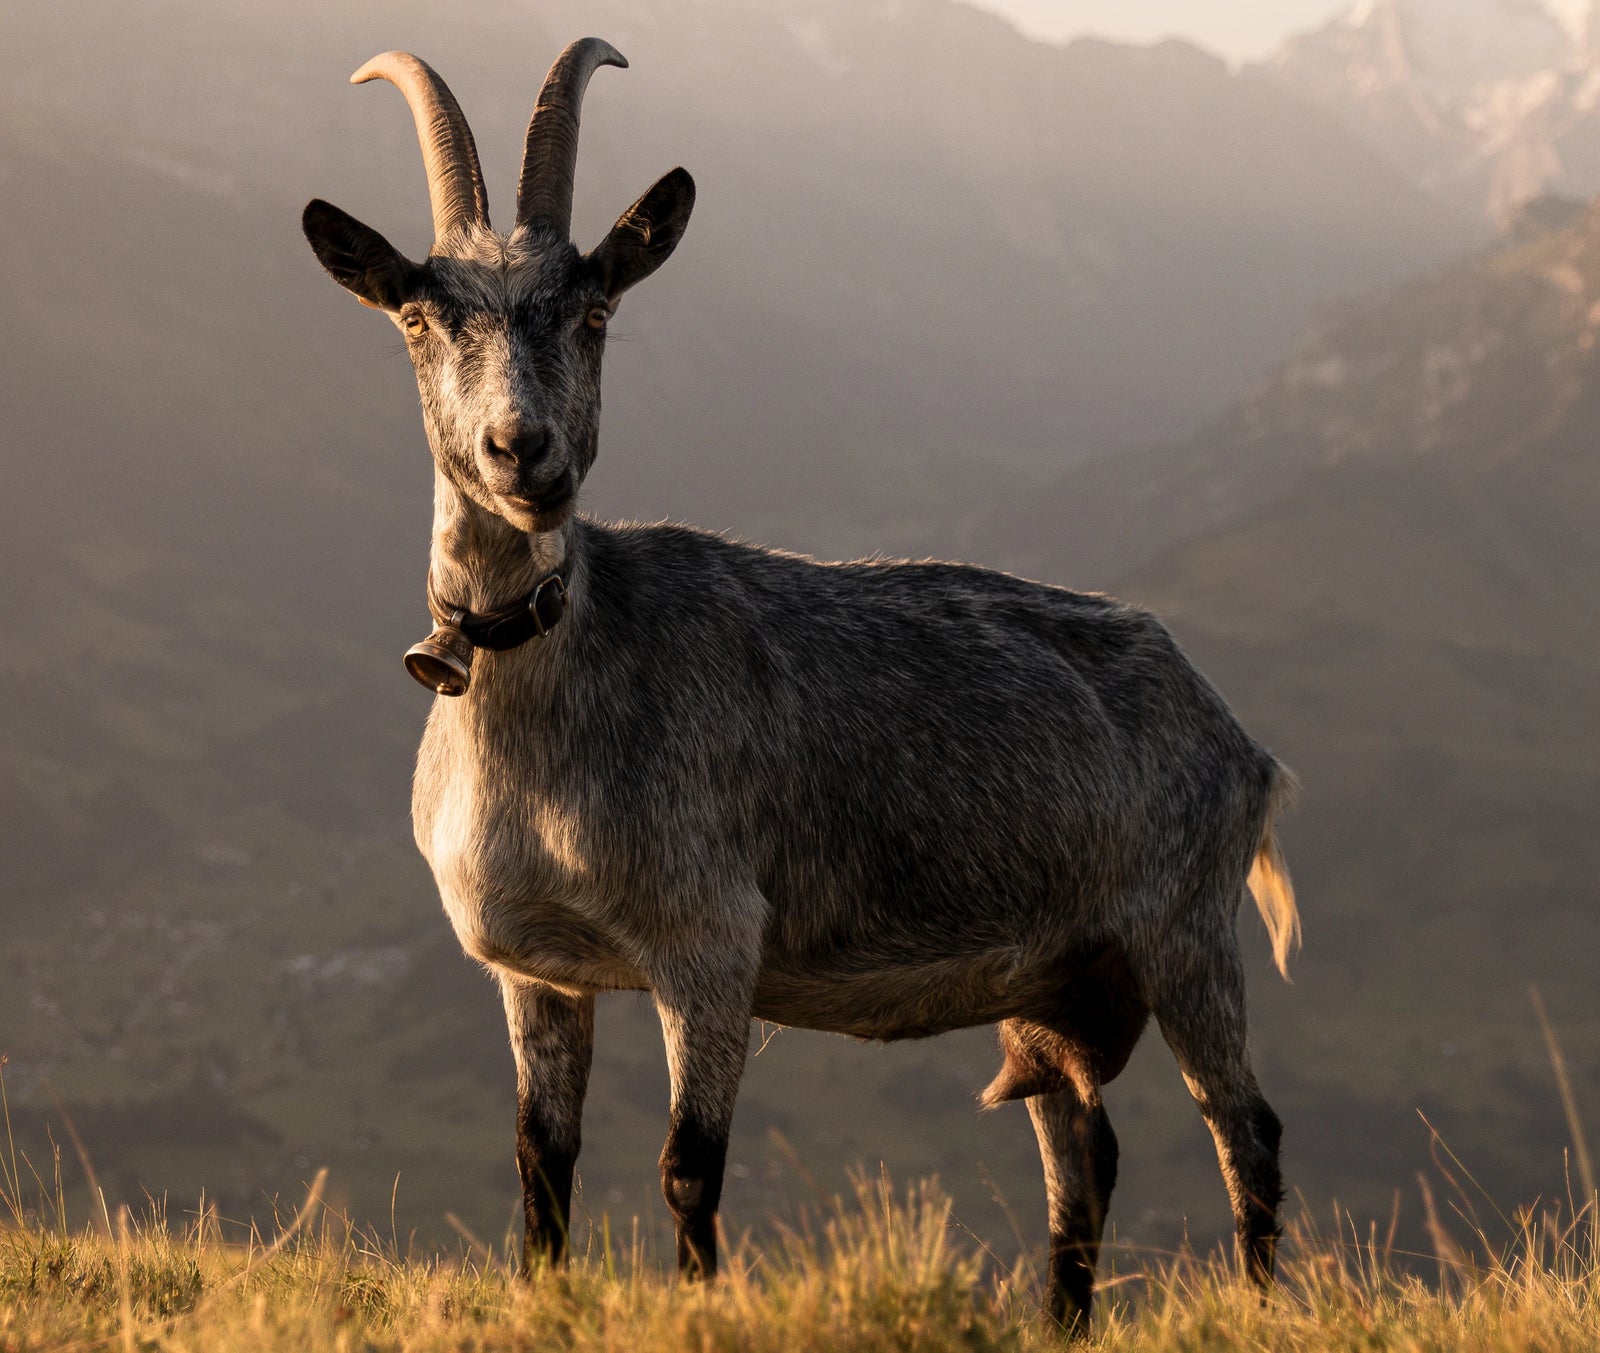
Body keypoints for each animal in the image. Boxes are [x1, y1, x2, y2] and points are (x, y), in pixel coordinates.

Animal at [301, 39, 1300, 1334]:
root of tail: (1241, 743)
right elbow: (540, 1163)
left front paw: (697, 1307)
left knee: (1247, 1133)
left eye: (595, 308)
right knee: (1084, 1155)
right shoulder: (534, 971)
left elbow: (688, 1164)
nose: (523, 452)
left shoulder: (709, 941)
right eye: (420, 314)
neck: (550, 697)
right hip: (1054, 973)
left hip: (1184, 929)